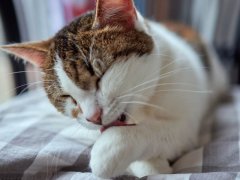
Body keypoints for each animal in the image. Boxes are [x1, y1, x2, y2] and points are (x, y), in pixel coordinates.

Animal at [0, 0, 228, 178]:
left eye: (100, 76)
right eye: (67, 96)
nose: (92, 117)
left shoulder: (188, 118)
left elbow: (165, 130)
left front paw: (109, 150)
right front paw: (149, 165)